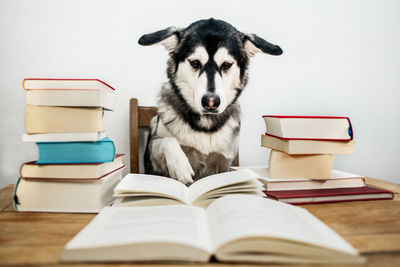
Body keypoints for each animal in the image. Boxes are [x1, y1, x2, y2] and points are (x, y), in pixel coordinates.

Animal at [139, 17, 282, 185]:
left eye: (226, 64)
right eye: (195, 63)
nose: (211, 102)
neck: (205, 126)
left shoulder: (224, 163)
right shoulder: (153, 154)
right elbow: (167, 140)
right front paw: (181, 166)